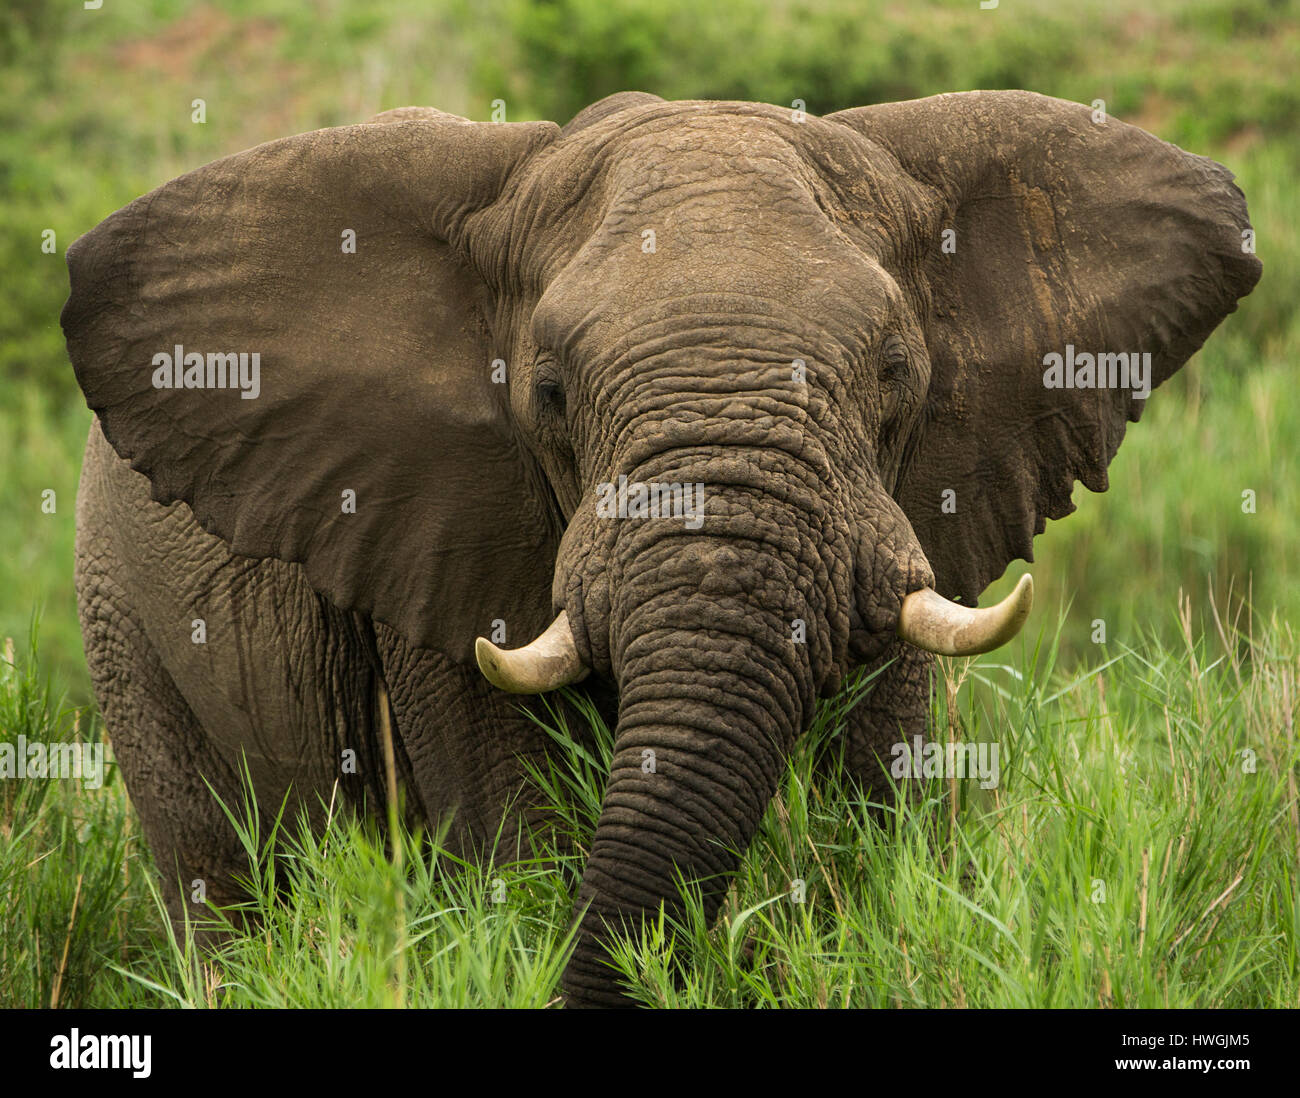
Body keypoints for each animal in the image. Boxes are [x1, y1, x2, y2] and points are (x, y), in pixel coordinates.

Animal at [61, 90, 1259, 1007]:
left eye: (894, 373)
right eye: (547, 393)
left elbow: (873, 820)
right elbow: (521, 836)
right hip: (121, 615)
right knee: (211, 880)